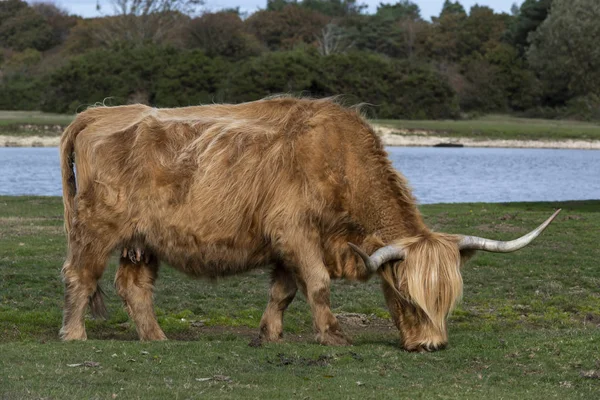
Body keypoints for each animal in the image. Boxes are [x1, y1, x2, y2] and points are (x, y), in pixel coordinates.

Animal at [58, 96, 560, 350]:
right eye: (405, 296)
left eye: (449, 300)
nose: (431, 345)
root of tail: (98, 113)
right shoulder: (296, 233)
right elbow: (317, 284)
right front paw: (335, 336)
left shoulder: (286, 245)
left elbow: (283, 292)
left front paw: (270, 335)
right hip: (96, 228)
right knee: (81, 275)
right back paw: (74, 334)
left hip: (142, 239)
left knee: (134, 286)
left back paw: (157, 338)